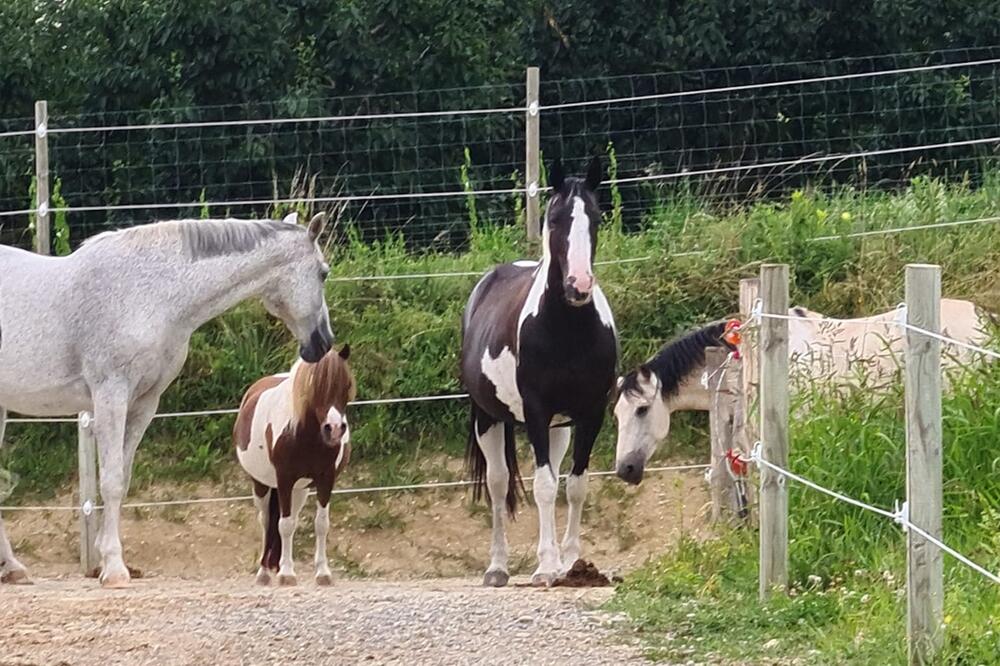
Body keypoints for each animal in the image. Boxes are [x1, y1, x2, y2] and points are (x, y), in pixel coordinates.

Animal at [234, 344, 356, 584]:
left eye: (346, 384)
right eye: (315, 386)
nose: (335, 429)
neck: (305, 435)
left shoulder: (325, 480)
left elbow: (321, 524)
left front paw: (323, 573)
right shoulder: (285, 480)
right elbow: (285, 525)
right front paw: (287, 573)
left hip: (300, 490)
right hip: (262, 485)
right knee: (266, 522)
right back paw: (263, 572)